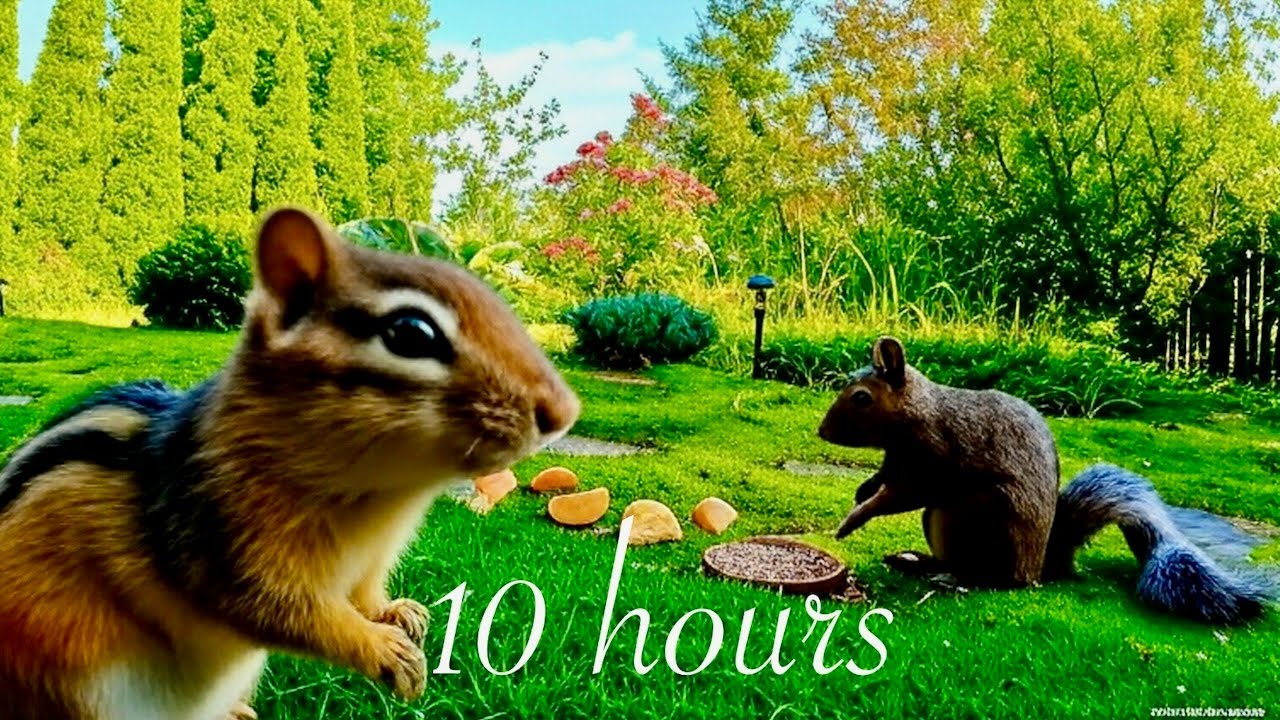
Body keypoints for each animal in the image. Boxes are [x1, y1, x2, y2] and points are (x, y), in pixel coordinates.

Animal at [0, 208, 579, 720]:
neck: (386, 495)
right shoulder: (226, 544)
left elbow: (363, 593)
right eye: (411, 333)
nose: (565, 411)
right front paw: (385, 651)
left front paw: (398, 612)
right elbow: (284, 612)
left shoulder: (371, 559)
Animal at [818, 336, 1275, 624]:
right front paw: (863, 490)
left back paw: (953, 578)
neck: (917, 413)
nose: (822, 431)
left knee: (994, 579)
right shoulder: (895, 459)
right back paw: (917, 560)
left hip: (973, 518)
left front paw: (854, 518)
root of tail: (1040, 565)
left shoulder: (933, 457)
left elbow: (901, 494)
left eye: (862, 398)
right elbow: (884, 479)